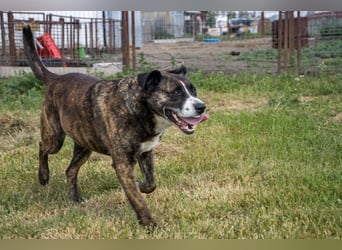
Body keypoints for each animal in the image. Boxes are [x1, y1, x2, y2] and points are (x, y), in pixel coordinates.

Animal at [23, 24, 208, 226]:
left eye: (193, 90)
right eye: (175, 92)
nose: (201, 107)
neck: (138, 108)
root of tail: (55, 78)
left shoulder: (146, 153)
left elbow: (151, 184)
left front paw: (141, 185)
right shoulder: (123, 164)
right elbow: (137, 198)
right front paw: (149, 224)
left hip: (84, 145)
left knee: (70, 170)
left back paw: (75, 199)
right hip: (55, 137)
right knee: (42, 146)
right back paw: (43, 176)